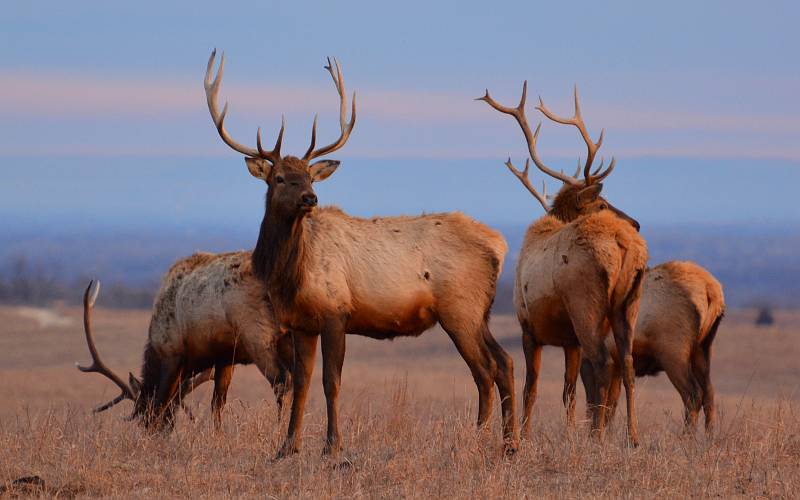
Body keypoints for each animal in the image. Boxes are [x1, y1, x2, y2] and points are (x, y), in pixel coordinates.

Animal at [75, 252, 292, 428]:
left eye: (143, 415)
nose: (159, 434)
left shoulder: (172, 352)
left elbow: (161, 401)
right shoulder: (224, 357)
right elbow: (217, 404)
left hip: (258, 336)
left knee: (282, 382)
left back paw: (280, 433)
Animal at [205, 50, 520, 458]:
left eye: (309, 175)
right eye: (279, 178)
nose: (310, 197)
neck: (289, 276)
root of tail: (499, 245)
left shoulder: (335, 311)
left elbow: (331, 382)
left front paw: (332, 447)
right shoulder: (302, 323)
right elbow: (301, 384)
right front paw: (287, 447)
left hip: (460, 308)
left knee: (485, 370)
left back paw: (478, 441)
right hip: (480, 312)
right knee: (504, 362)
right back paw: (509, 445)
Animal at [478, 83, 648, 446]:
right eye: (602, 203)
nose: (637, 223)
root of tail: (625, 244)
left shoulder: (528, 326)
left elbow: (532, 388)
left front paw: (526, 434)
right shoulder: (568, 340)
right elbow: (568, 391)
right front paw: (568, 432)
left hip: (586, 304)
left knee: (603, 362)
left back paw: (598, 436)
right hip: (628, 304)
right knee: (626, 362)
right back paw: (632, 435)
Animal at [580, 262, 728, 434]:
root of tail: (712, 291)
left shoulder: (589, 358)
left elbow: (593, 403)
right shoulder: (615, 363)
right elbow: (610, 405)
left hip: (673, 355)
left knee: (693, 395)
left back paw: (686, 437)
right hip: (702, 350)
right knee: (709, 394)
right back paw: (709, 437)